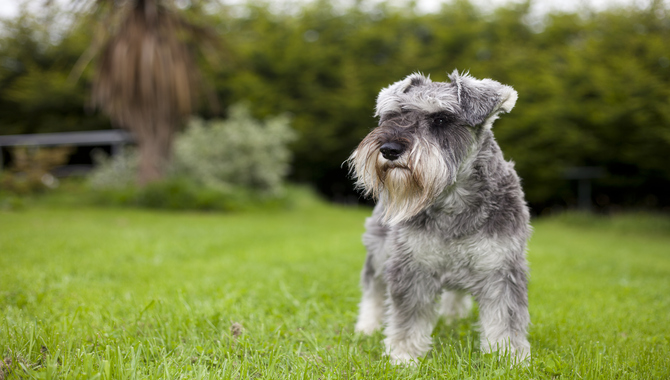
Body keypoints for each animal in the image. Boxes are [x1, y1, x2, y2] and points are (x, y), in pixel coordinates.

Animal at [350, 70, 532, 366]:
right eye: (393, 115)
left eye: (441, 119)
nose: (389, 149)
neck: (452, 202)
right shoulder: (411, 266)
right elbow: (408, 318)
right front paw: (403, 357)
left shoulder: (501, 268)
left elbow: (506, 318)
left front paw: (509, 358)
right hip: (379, 251)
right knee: (373, 288)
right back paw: (367, 326)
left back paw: (453, 317)